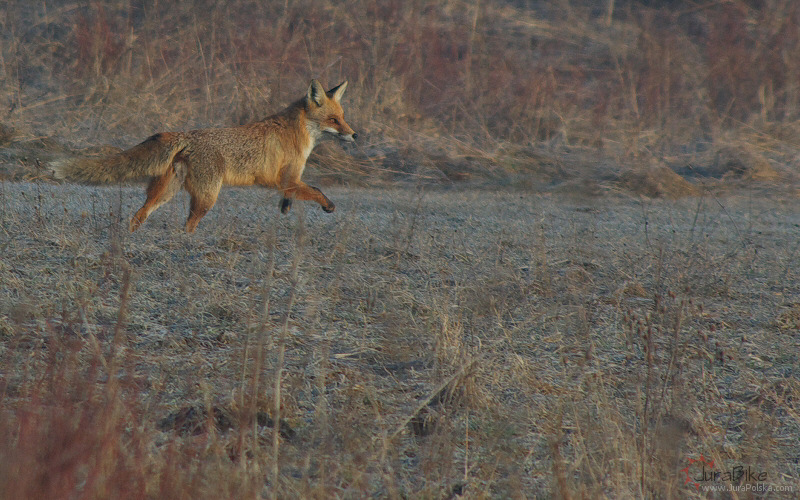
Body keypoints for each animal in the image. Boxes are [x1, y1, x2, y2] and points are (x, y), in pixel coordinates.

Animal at [51, 79, 358, 232]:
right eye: (333, 120)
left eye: (343, 117)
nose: (355, 135)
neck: (298, 132)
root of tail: (184, 135)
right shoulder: (287, 177)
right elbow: (316, 190)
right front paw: (328, 206)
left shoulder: (287, 180)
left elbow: (294, 194)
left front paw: (285, 208)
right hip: (207, 197)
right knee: (187, 226)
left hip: (165, 193)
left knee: (138, 216)